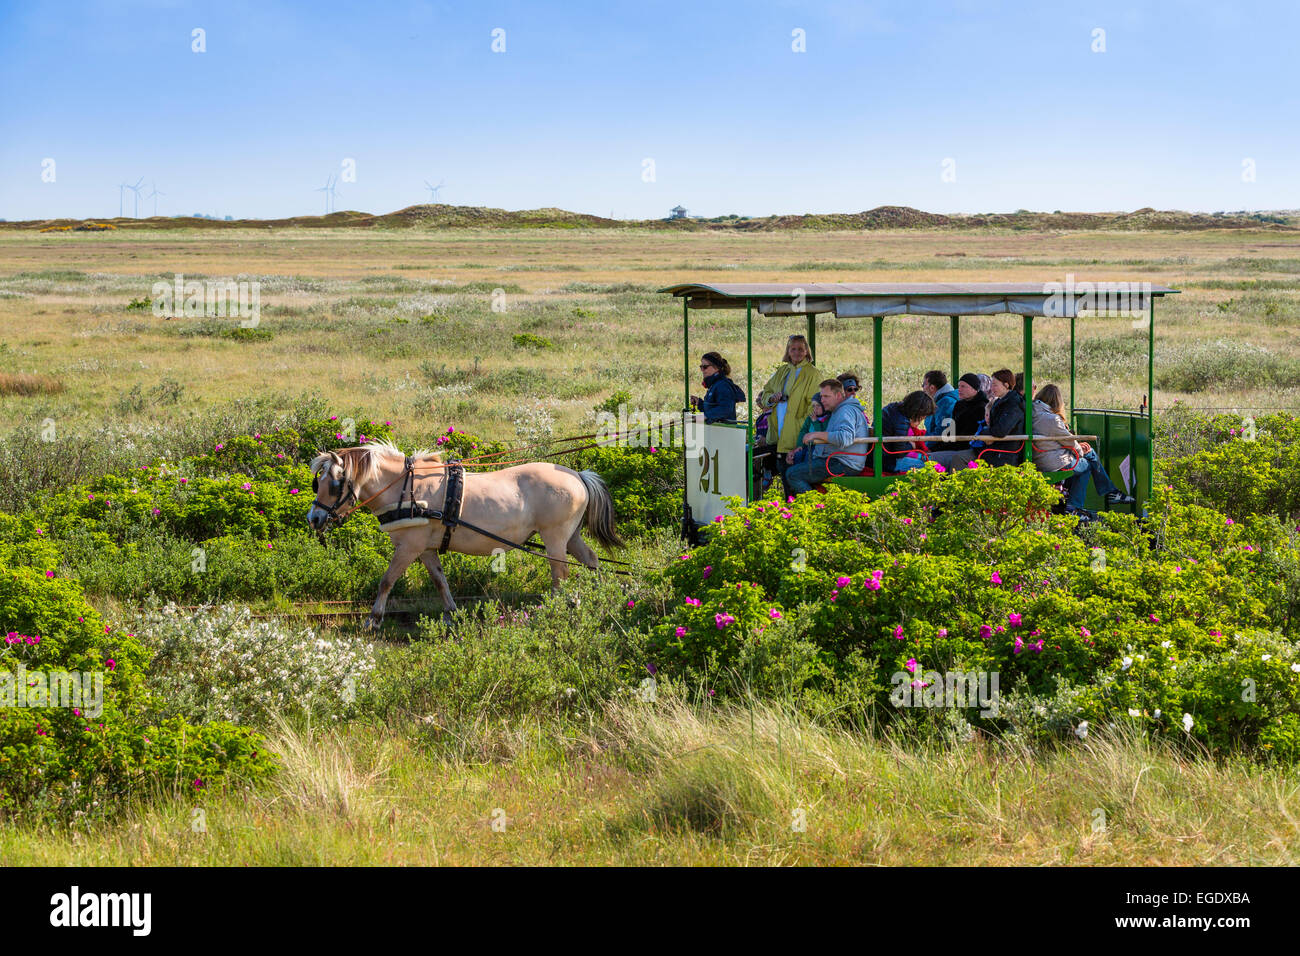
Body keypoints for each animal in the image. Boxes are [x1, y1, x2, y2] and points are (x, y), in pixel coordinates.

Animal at [306, 441, 623, 629]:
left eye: (334, 484)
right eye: (317, 482)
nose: (314, 518)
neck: (405, 489)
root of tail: (579, 476)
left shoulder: (409, 546)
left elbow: (387, 581)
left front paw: (373, 619)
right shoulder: (425, 548)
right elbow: (439, 580)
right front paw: (450, 614)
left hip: (554, 537)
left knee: (560, 576)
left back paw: (554, 611)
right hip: (571, 537)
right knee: (591, 561)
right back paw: (597, 599)